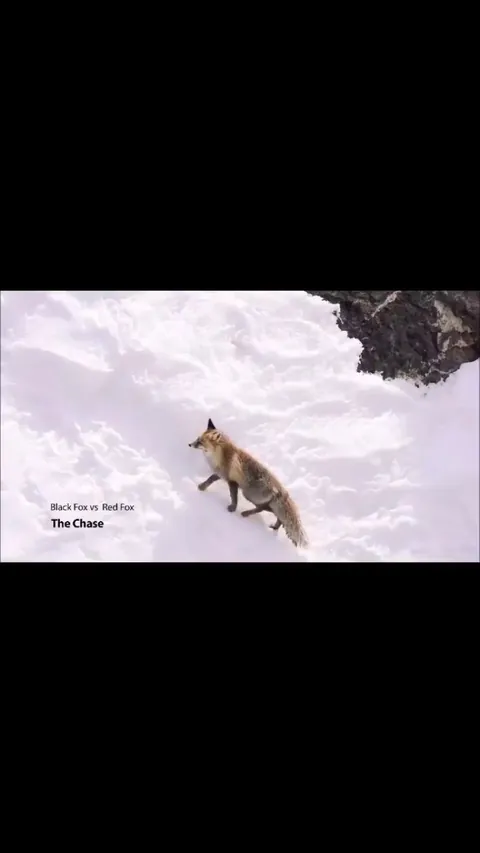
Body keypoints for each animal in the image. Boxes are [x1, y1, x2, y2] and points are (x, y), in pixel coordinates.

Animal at [189, 419, 308, 548]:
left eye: (200, 442)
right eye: (197, 439)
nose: (189, 444)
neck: (221, 455)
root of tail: (282, 490)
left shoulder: (232, 482)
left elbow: (234, 497)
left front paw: (232, 508)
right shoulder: (221, 474)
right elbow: (210, 479)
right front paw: (202, 487)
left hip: (249, 495)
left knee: (263, 509)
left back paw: (246, 514)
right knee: (278, 516)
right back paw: (274, 526)